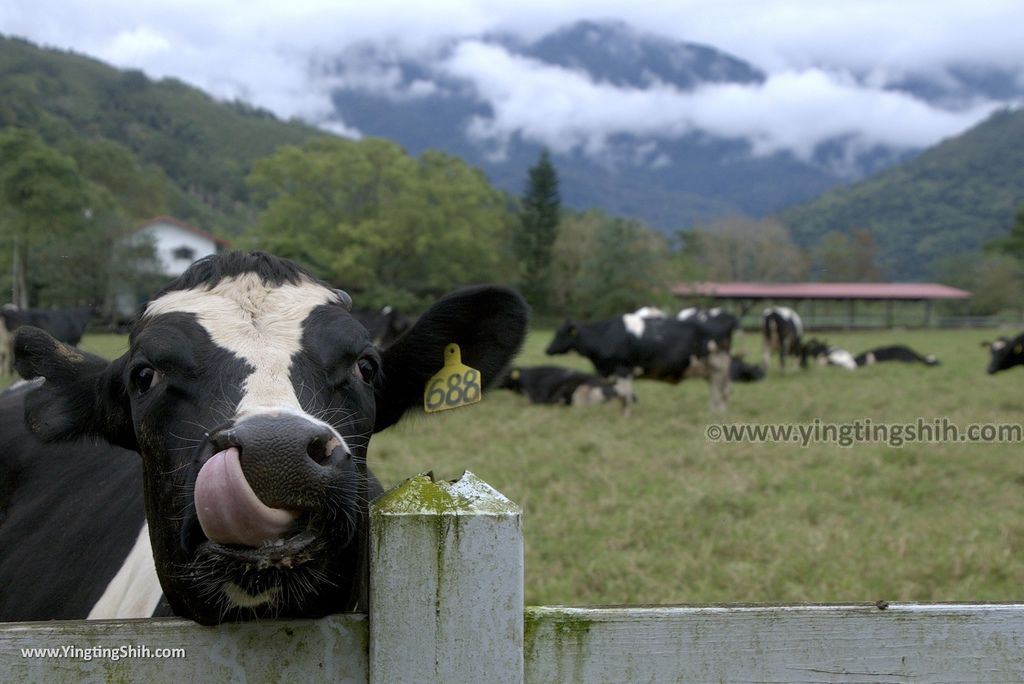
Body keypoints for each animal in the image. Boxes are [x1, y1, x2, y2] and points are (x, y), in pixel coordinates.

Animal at [544, 309, 737, 411]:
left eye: (560, 333)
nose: (547, 349)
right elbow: (621, 394)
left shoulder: (623, 369)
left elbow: (624, 394)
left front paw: (625, 416)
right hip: (710, 369)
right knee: (714, 388)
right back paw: (712, 411)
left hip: (720, 366)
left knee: (723, 390)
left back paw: (720, 412)